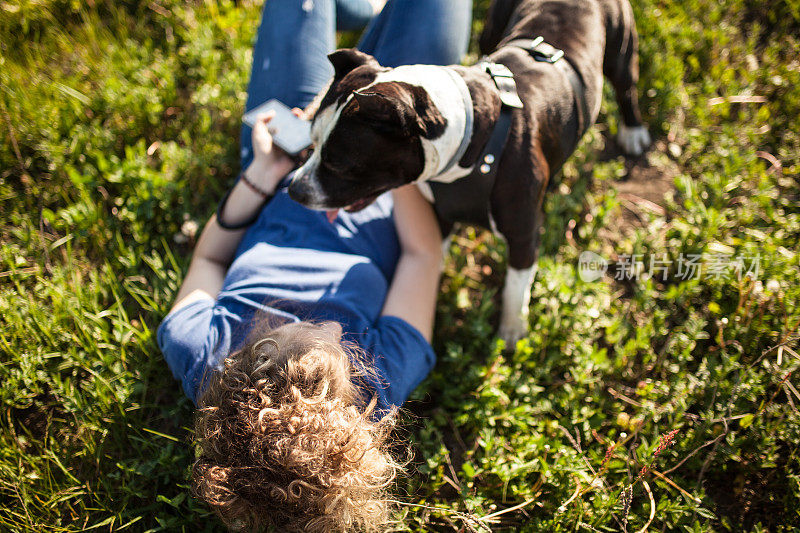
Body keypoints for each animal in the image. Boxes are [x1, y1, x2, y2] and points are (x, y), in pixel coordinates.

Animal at [288, 0, 648, 342]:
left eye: (339, 163)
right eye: (311, 145)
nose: (293, 190)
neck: (470, 139)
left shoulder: (523, 237)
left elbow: (515, 290)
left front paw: (511, 333)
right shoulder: (440, 215)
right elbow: (437, 253)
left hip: (620, 48)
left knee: (626, 86)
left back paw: (633, 130)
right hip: (493, 27)